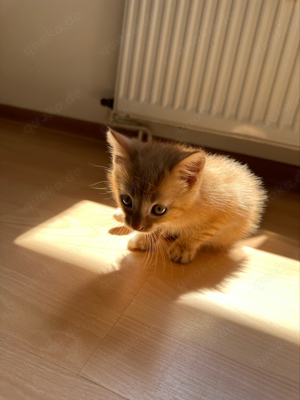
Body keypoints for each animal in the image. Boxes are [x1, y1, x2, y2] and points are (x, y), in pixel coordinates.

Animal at [106, 130, 268, 264]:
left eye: (159, 209)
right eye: (126, 200)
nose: (135, 226)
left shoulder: (228, 211)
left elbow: (200, 232)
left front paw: (182, 248)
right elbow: (157, 227)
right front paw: (143, 238)